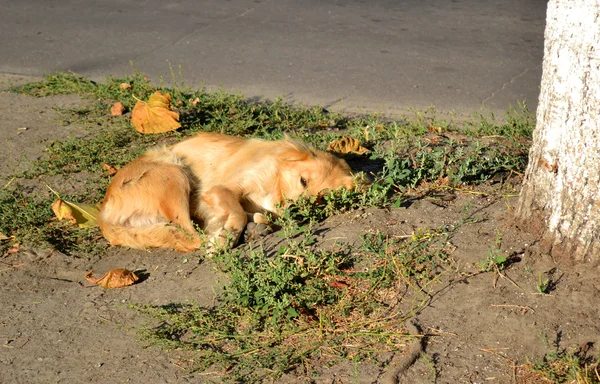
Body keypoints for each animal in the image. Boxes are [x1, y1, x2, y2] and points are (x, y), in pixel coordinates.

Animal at [96, 132, 354, 252]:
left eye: (321, 200)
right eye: (303, 181)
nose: (296, 213)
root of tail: (103, 216)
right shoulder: (218, 189)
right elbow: (237, 212)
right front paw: (225, 237)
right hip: (174, 174)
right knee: (192, 238)